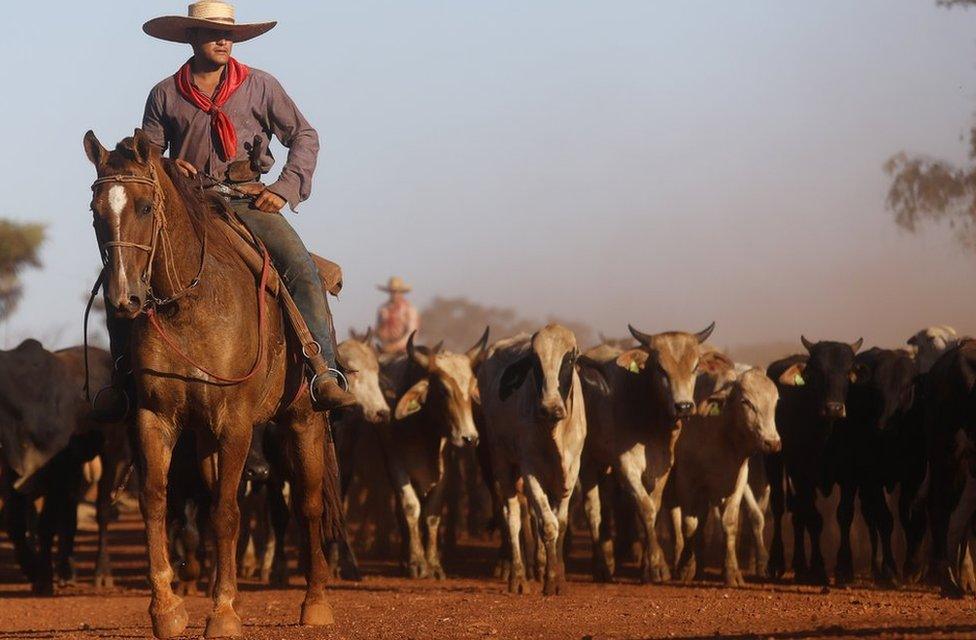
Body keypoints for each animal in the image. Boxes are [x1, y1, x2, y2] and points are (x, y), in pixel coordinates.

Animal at [85, 130, 344, 640]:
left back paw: (316, 602)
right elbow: (156, 502)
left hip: (302, 419)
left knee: (307, 504)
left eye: (145, 206)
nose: (124, 299)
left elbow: (227, 512)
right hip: (205, 435)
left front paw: (223, 612)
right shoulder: (155, 418)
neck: (188, 303)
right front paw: (167, 608)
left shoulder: (236, 423)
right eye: (95, 210)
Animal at [764, 336, 860, 584]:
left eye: (847, 371)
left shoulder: (850, 475)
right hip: (775, 460)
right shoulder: (803, 473)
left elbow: (844, 515)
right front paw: (817, 568)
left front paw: (844, 568)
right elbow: (814, 519)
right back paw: (777, 563)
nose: (833, 408)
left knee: (797, 513)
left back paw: (799, 566)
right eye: (817, 372)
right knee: (780, 507)